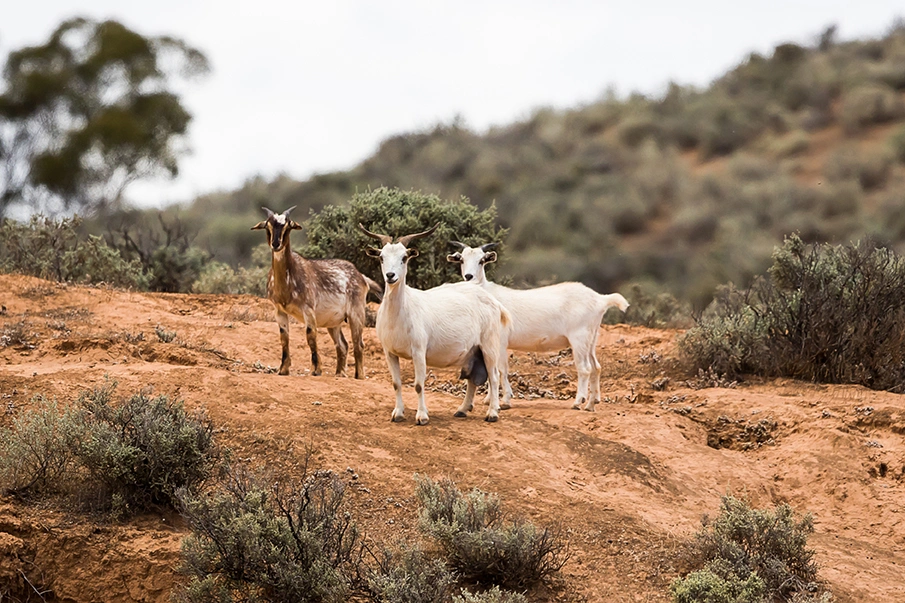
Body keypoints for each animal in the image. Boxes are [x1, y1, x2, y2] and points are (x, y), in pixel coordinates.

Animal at [252, 206, 381, 378]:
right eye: (268, 226)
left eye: (288, 225)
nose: (276, 244)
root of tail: (362, 277)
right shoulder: (279, 310)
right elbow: (284, 337)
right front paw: (283, 369)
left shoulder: (308, 309)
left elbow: (310, 335)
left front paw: (316, 369)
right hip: (333, 322)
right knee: (342, 344)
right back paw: (340, 373)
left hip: (356, 313)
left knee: (358, 343)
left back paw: (358, 375)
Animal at [359, 223, 511, 425]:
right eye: (382, 257)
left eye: (404, 257)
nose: (391, 276)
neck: (400, 314)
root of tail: (493, 301)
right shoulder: (389, 352)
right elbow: (396, 383)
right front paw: (398, 414)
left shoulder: (418, 351)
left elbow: (418, 385)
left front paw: (422, 416)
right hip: (473, 350)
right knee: (472, 378)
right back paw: (462, 410)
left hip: (489, 345)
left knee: (493, 376)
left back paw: (492, 413)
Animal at [448, 242, 628, 411]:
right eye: (461, 259)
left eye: (482, 260)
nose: (469, 276)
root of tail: (600, 299)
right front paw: (489, 400)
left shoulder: (500, 342)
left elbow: (501, 370)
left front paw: (505, 401)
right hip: (591, 338)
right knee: (596, 367)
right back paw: (592, 403)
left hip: (579, 339)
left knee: (585, 368)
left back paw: (578, 402)